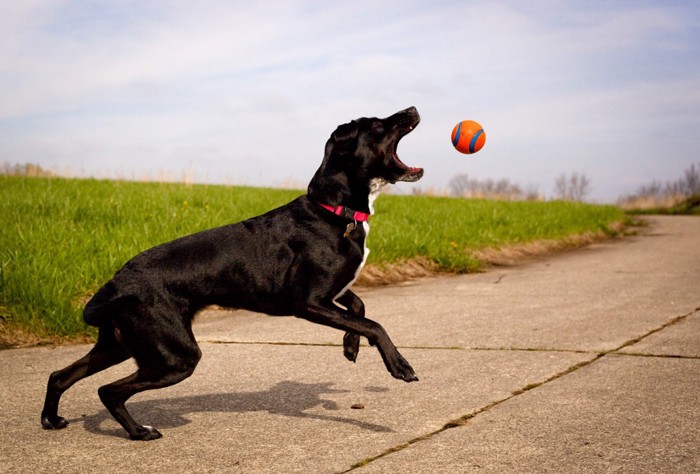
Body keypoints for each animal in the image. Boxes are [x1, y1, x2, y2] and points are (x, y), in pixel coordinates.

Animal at [42, 105, 422, 438]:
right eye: (378, 124)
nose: (413, 109)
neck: (333, 210)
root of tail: (117, 282)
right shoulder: (309, 302)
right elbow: (373, 323)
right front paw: (399, 364)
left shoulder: (331, 293)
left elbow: (359, 309)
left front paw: (350, 346)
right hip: (176, 356)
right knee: (108, 390)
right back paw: (139, 432)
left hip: (122, 343)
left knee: (60, 375)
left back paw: (51, 419)